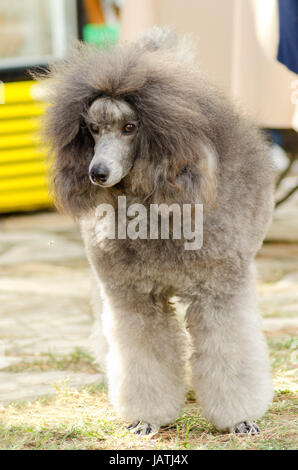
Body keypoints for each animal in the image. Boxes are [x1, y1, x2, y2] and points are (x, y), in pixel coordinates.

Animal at [39, 27, 274, 436]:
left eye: (130, 128)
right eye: (93, 129)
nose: (97, 173)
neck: (154, 204)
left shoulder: (219, 292)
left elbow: (229, 351)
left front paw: (238, 418)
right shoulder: (133, 296)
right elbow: (143, 357)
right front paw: (147, 418)